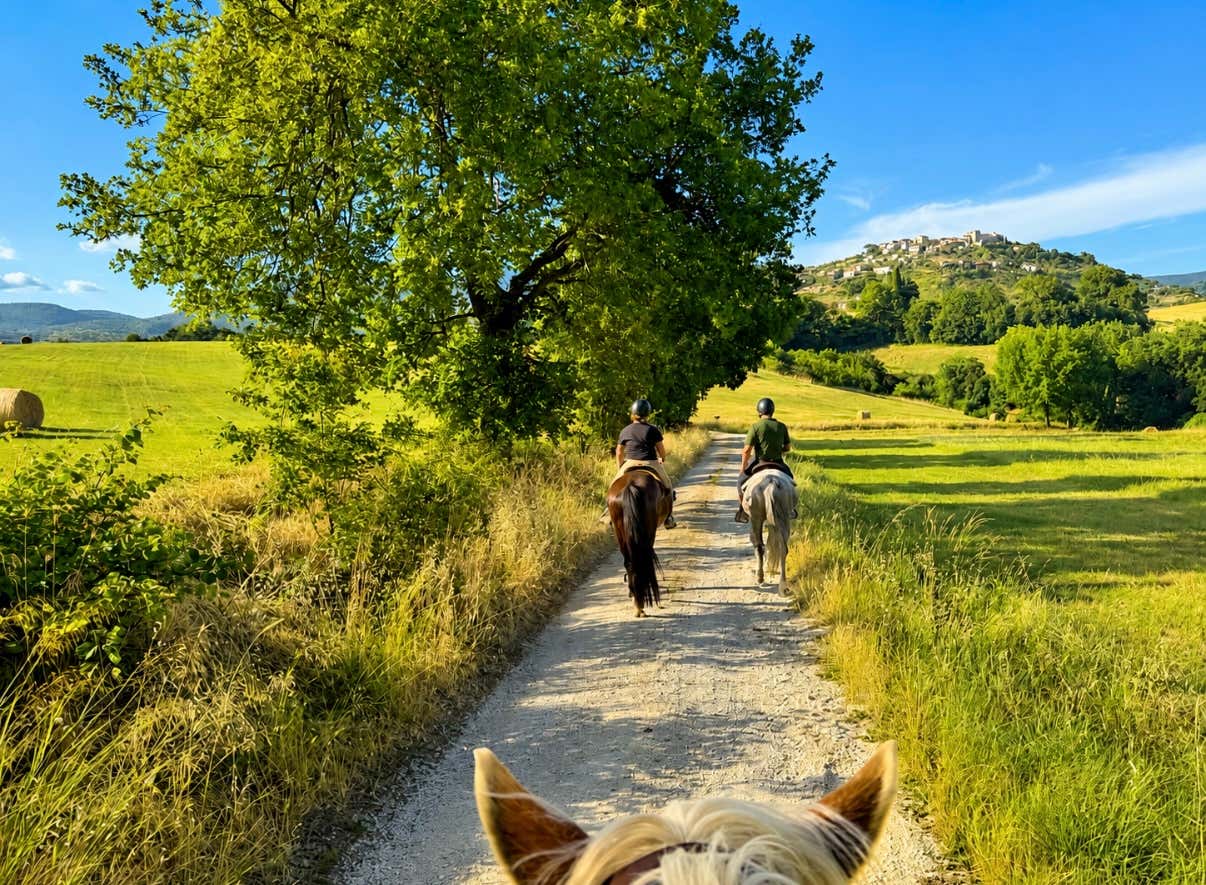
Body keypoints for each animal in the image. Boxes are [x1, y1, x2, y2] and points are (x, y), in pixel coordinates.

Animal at [606, 468, 672, 617]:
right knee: (645, 559)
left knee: (630, 563)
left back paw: (637, 601)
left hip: (620, 532)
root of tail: (629, 487)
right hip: (648, 531)